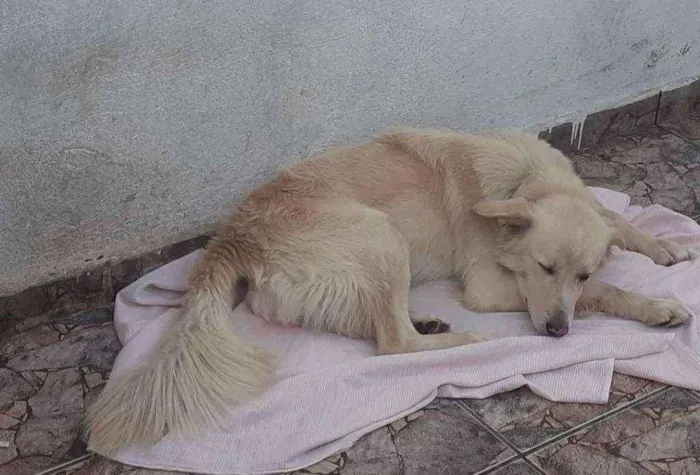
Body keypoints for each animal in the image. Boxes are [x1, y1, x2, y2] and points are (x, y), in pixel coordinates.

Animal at [89, 128, 696, 456]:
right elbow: (611, 291)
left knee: (378, 323)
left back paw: (429, 321)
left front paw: (662, 246)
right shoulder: (490, 286)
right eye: (545, 267)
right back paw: (467, 342)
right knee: (392, 343)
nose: (556, 332)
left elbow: (614, 220)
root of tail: (233, 236)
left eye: (581, 272)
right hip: (381, 236)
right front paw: (656, 306)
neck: (525, 182)